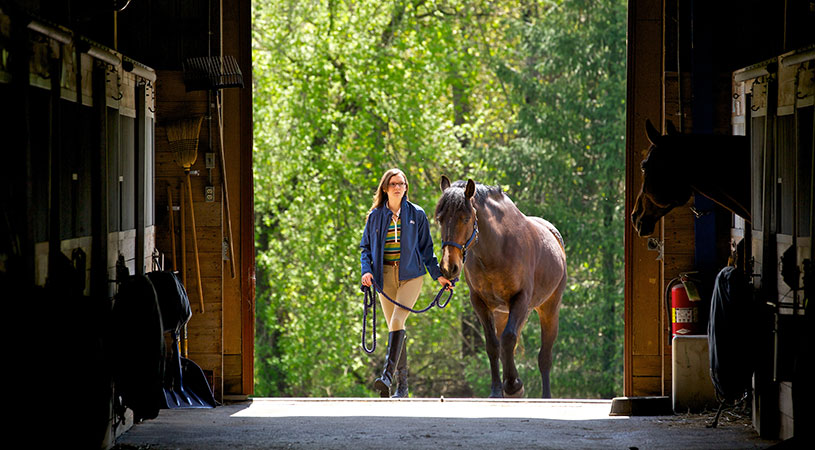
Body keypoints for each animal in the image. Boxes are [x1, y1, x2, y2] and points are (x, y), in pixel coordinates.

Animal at [434, 176, 568, 398]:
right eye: (440, 219)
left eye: (465, 218)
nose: (448, 267)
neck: (495, 250)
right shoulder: (480, 303)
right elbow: (493, 345)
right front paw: (498, 389)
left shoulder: (520, 299)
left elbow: (508, 339)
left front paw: (514, 385)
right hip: (504, 313)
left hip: (548, 309)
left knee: (544, 357)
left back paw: (545, 396)